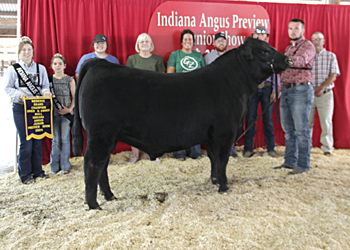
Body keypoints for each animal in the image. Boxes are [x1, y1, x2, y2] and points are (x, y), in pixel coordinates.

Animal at [72, 37, 290, 209]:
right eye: (264, 50)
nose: (287, 59)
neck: (236, 83)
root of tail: (99, 64)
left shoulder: (212, 136)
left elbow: (213, 159)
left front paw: (214, 181)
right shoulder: (224, 133)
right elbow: (222, 160)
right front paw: (224, 186)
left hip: (108, 137)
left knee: (102, 166)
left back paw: (109, 196)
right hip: (100, 135)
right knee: (92, 164)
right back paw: (94, 204)